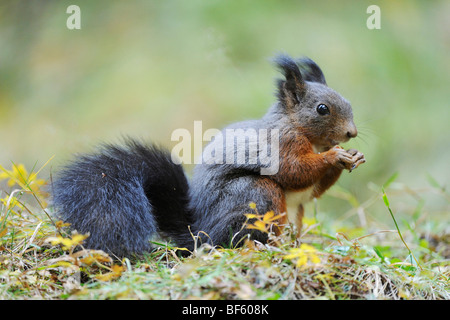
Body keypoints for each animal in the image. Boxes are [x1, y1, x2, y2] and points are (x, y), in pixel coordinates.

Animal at [51, 53, 364, 258]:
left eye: (349, 103)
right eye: (322, 109)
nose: (352, 132)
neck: (307, 136)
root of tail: (199, 232)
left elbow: (314, 190)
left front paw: (354, 156)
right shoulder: (280, 144)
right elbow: (293, 171)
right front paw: (335, 156)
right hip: (256, 194)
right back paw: (271, 247)